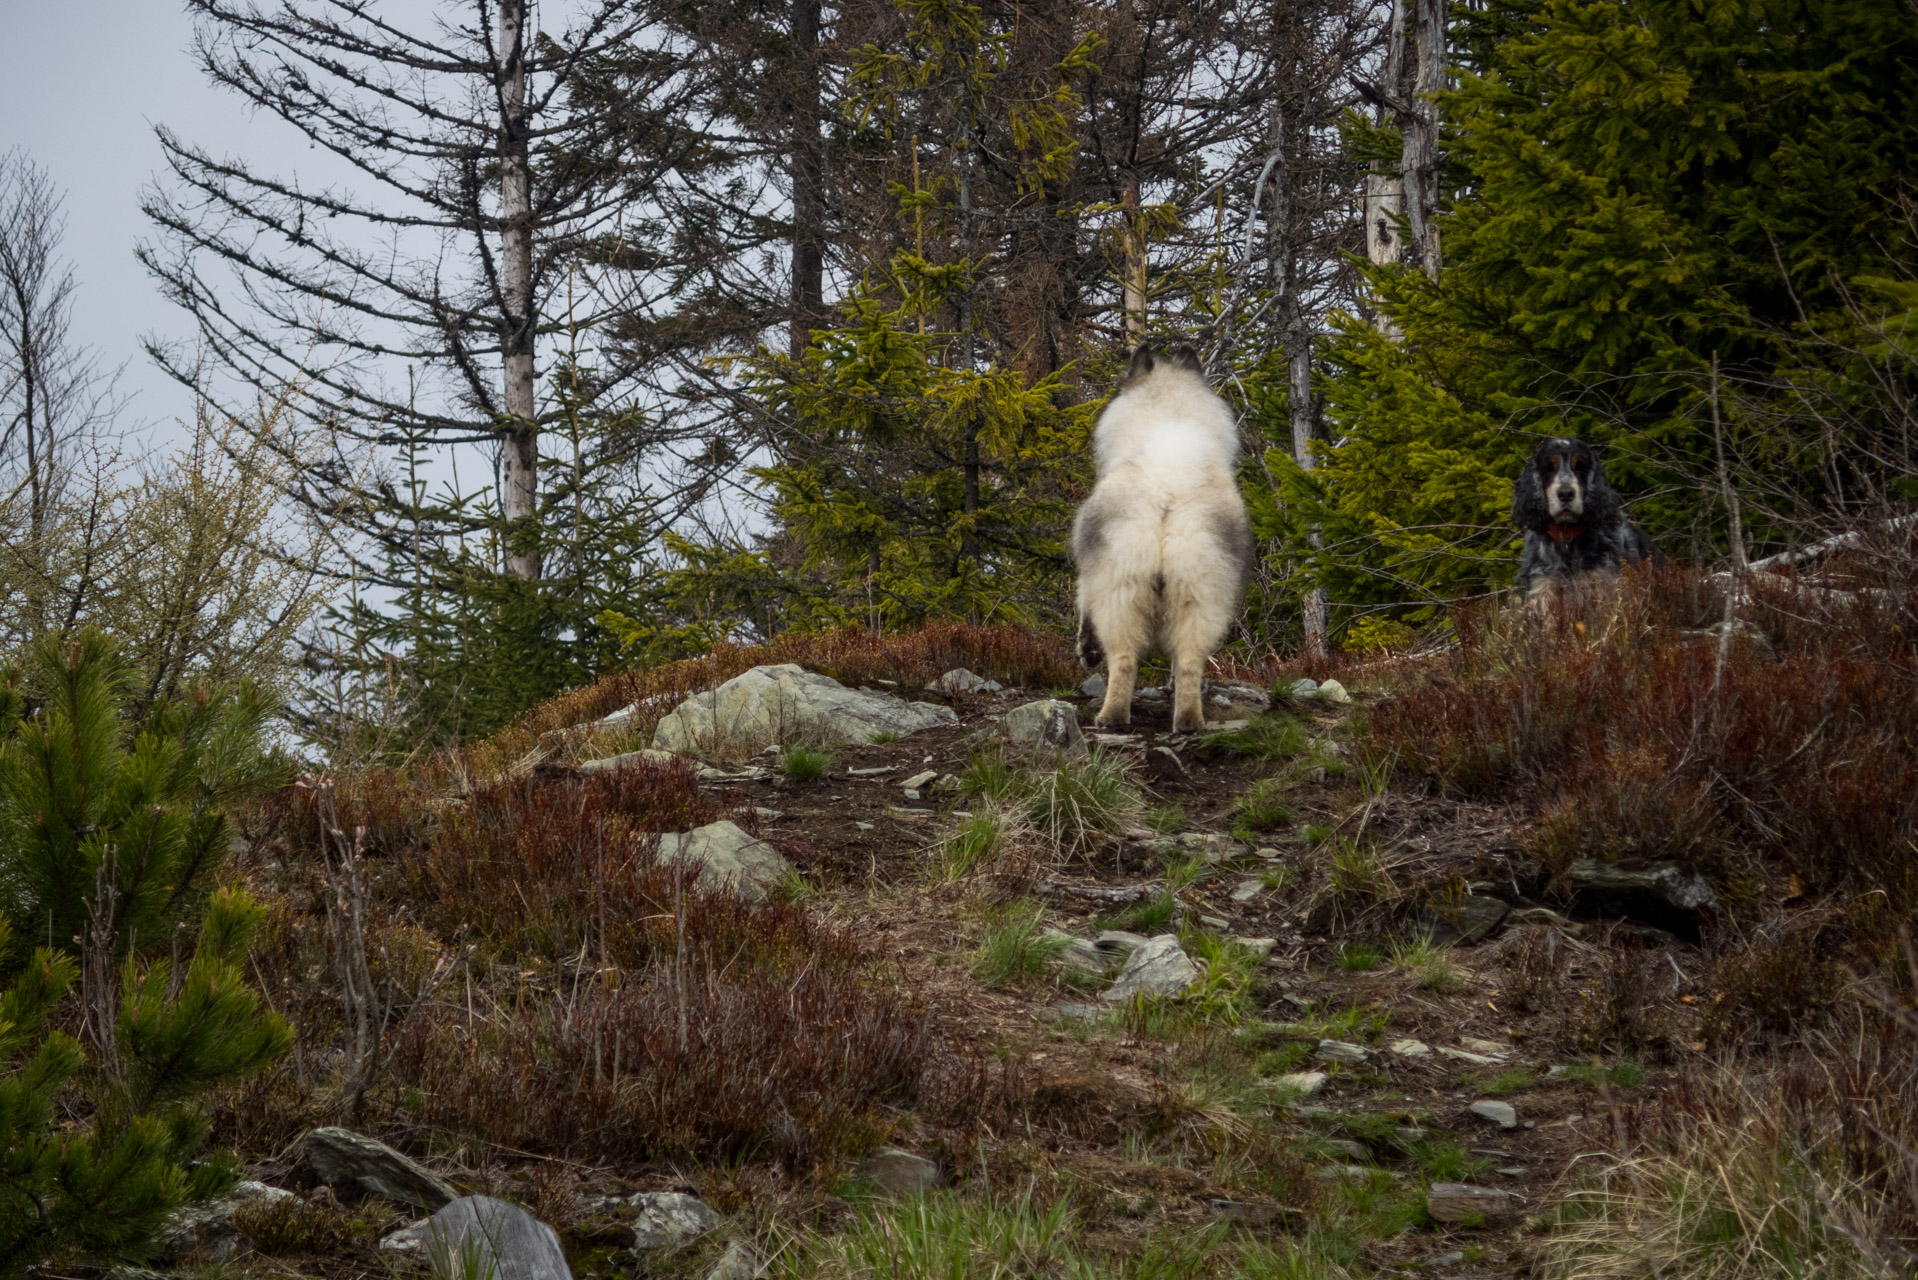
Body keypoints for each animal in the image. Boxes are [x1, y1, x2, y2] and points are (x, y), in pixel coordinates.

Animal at [1074, 345, 1250, 736]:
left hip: (1120, 588)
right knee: (1188, 661)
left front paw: (1086, 650)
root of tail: (1168, 495)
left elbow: (1082, 607)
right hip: (1200, 593)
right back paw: (1187, 720)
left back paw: (1110, 717)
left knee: (1124, 658)